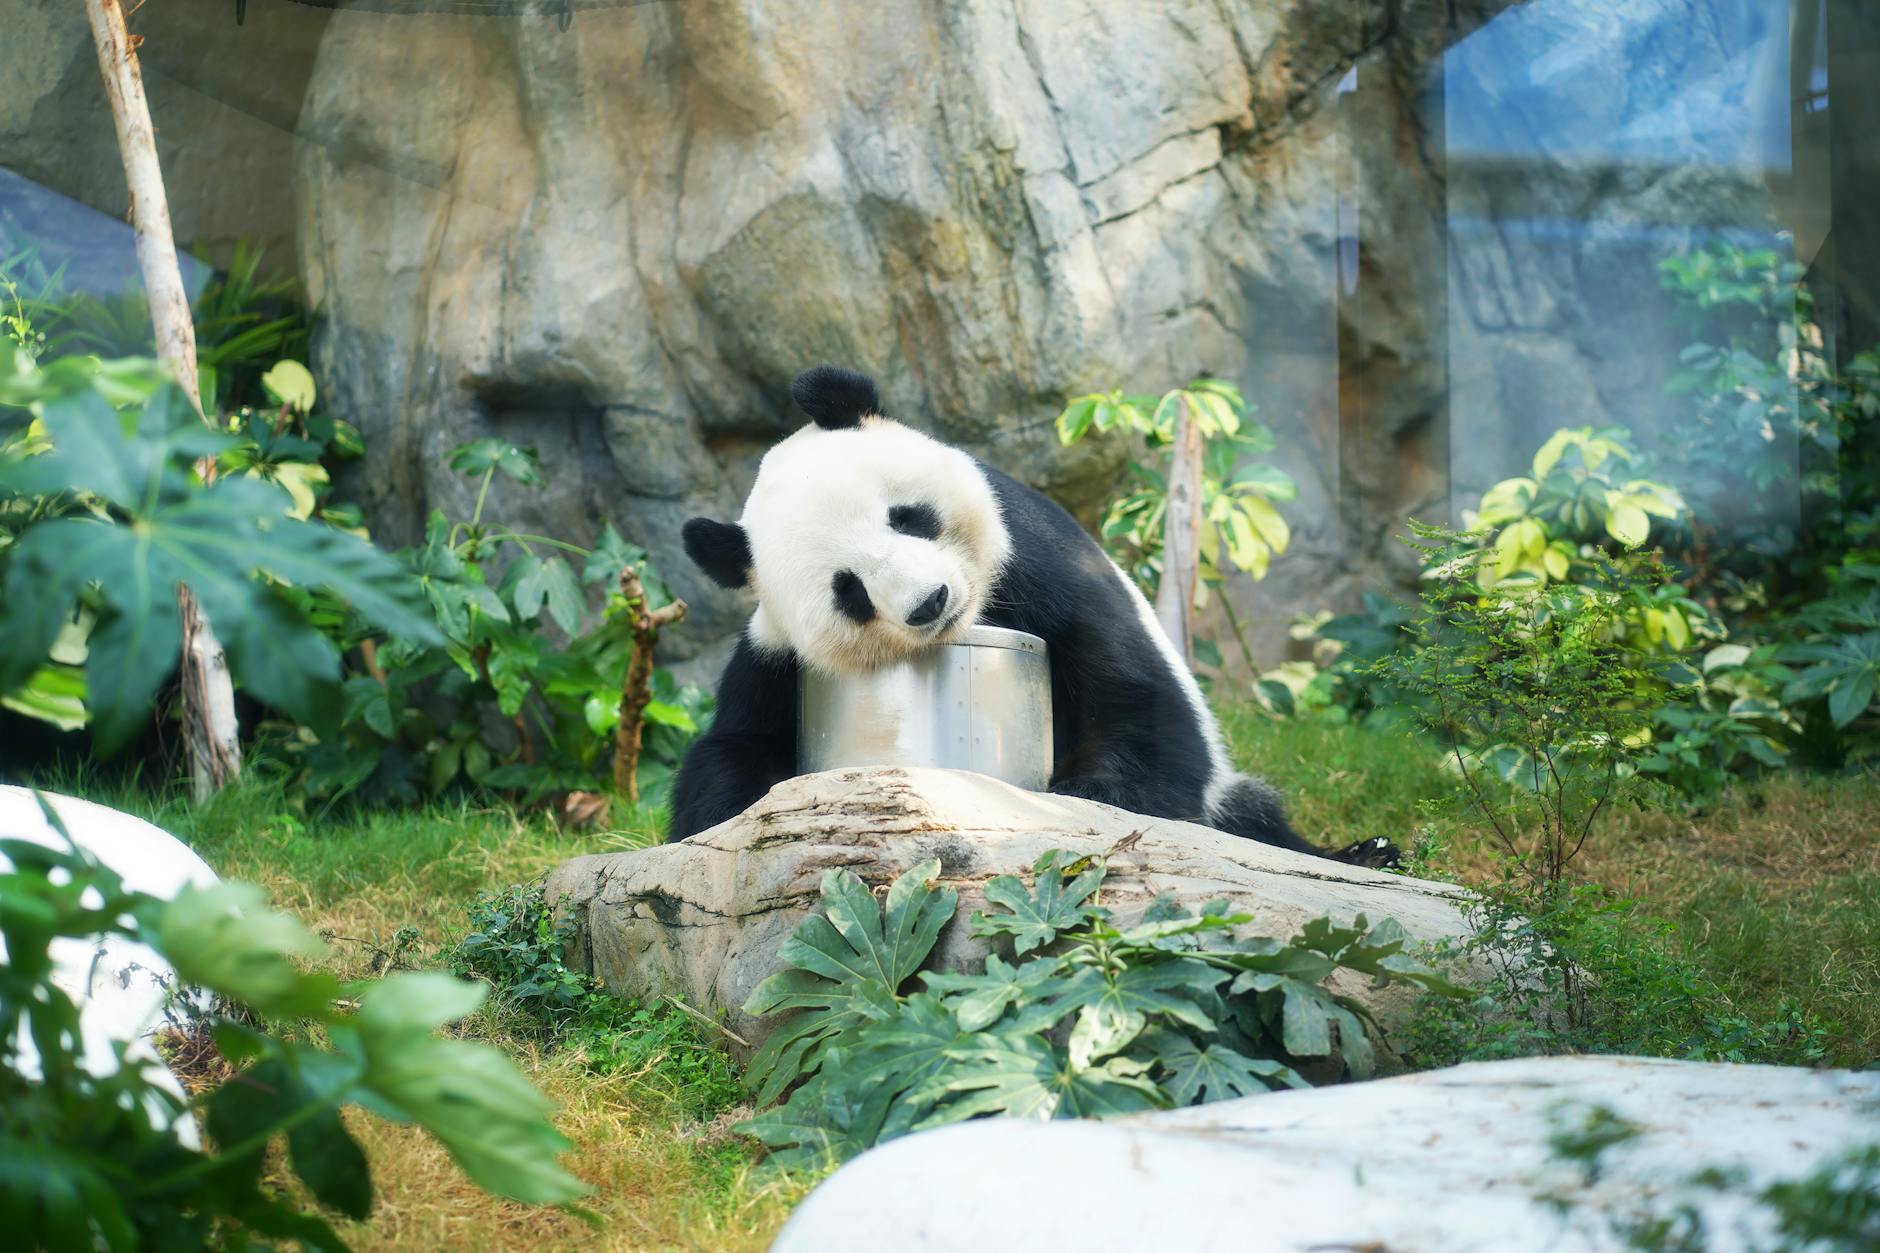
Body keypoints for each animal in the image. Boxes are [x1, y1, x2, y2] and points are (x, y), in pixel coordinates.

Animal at [669, 365, 1394, 866]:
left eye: (907, 516)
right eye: (850, 590)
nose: (930, 602)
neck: (978, 610)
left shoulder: (1042, 561)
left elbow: (1137, 702)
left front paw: (1084, 795)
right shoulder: (774, 653)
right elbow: (728, 756)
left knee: (1253, 816)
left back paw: (1366, 851)